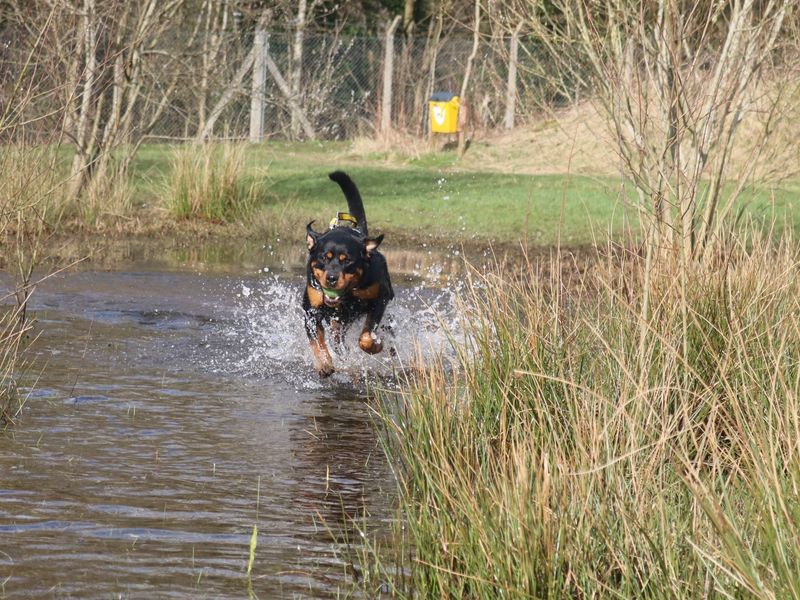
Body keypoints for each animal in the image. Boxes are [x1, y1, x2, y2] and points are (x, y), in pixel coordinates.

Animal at [304, 170, 394, 376]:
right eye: (324, 257)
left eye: (348, 261)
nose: (331, 278)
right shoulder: (310, 310)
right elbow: (317, 341)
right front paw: (324, 363)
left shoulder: (380, 298)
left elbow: (368, 334)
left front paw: (374, 345)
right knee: (336, 339)